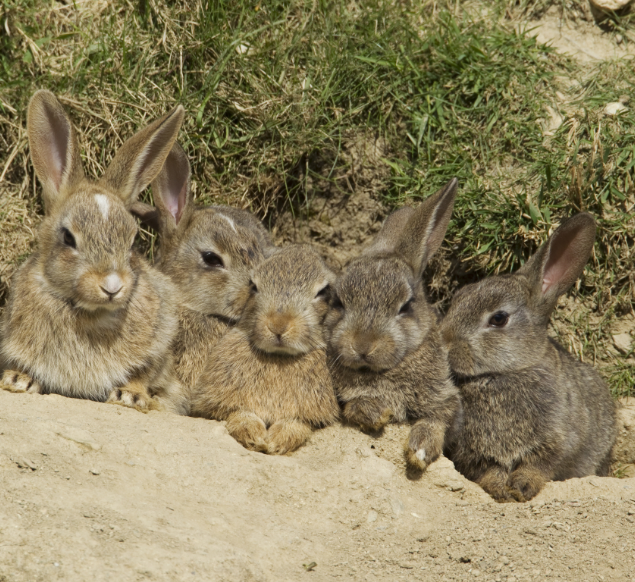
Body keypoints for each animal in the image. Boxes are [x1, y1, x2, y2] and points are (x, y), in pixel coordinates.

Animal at [0, 89, 188, 418]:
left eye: (132, 241)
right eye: (68, 237)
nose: (112, 286)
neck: (89, 312)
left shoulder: (160, 340)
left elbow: (146, 372)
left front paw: (130, 397)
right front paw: (18, 380)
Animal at [191, 245, 340, 456]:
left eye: (323, 292)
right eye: (253, 286)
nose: (278, 325)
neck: (278, 356)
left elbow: (297, 424)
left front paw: (277, 442)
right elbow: (240, 414)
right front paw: (254, 437)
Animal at [326, 179, 460, 474]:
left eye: (405, 306)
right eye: (338, 302)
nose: (363, 345)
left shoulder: (444, 399)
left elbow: (437, 420)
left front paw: (420, 450)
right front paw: (374, 412)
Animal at [440, 212, 620, 504]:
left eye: (498, 318)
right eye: (456, 299)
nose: (444, 344)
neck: (505, 374)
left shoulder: (557, 442)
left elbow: (539, 466)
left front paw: (521, 487)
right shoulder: (470, 453)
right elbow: (487, 470)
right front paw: (500, 489)